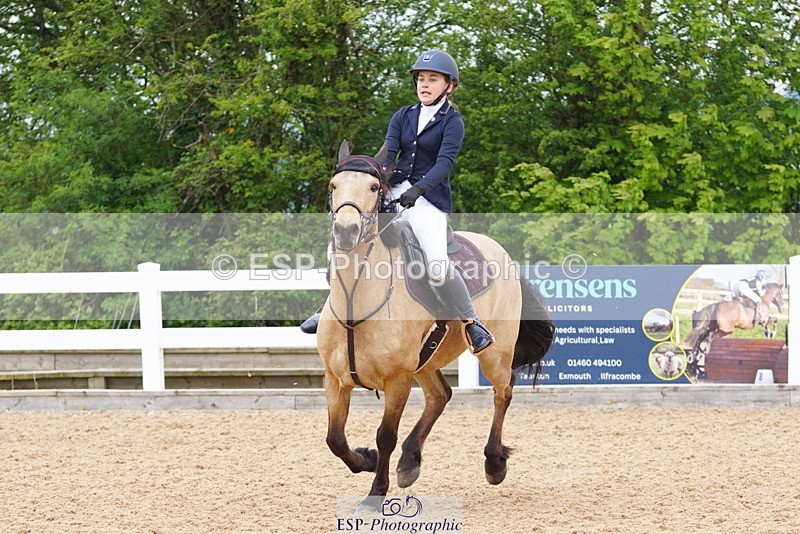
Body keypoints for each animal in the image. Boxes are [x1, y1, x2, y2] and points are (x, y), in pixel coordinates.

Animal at [316, 142, 554, 507]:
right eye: (333, 186)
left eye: (373, 187)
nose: (345, 231)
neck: (357, 300)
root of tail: (502, 253)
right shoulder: (335, 379)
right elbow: (335, 439)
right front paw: (367, 460)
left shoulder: (398, 380)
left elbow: (385, 435)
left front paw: (376, 491)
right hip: (426, 361)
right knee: (441, 395)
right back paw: (409, 462)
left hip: (494, 354)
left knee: (504, 390)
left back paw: (494, 463)